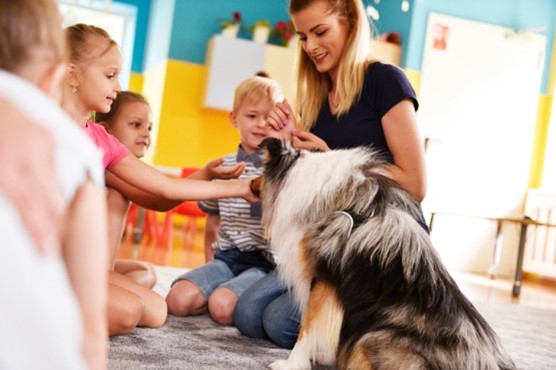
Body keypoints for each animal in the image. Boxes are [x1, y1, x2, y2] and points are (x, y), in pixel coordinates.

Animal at [251, 138, 512, 370]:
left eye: (260, 170)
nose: (250, 182)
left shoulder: (323, 274)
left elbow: (307, 326)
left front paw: (290, 364)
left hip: (371, 339)